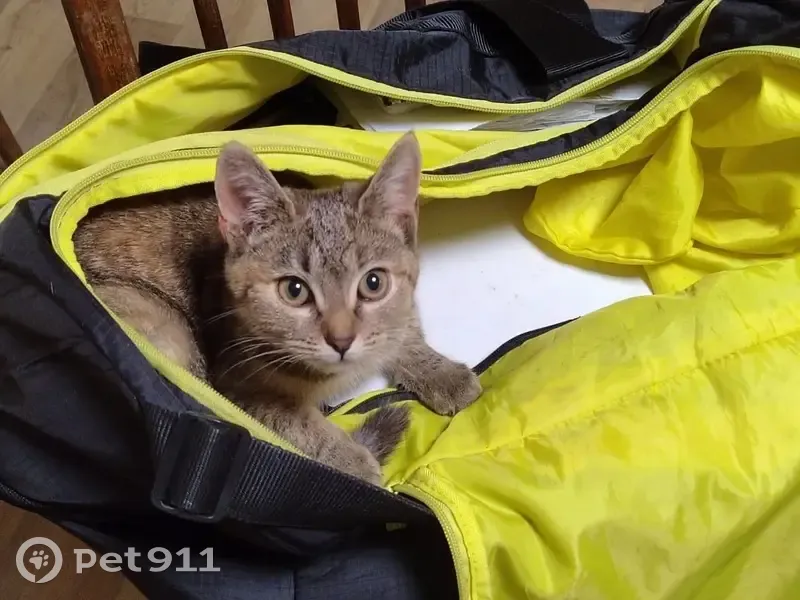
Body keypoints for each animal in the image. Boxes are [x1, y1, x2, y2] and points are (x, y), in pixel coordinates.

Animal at [74, 133, 481, 484]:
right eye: (294, 290)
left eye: (373, 283)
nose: (342, 340)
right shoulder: (235, 386)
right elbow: (293, 419)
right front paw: (349, 458)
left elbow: (401, 328)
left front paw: (440, 372)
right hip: (167, 327)